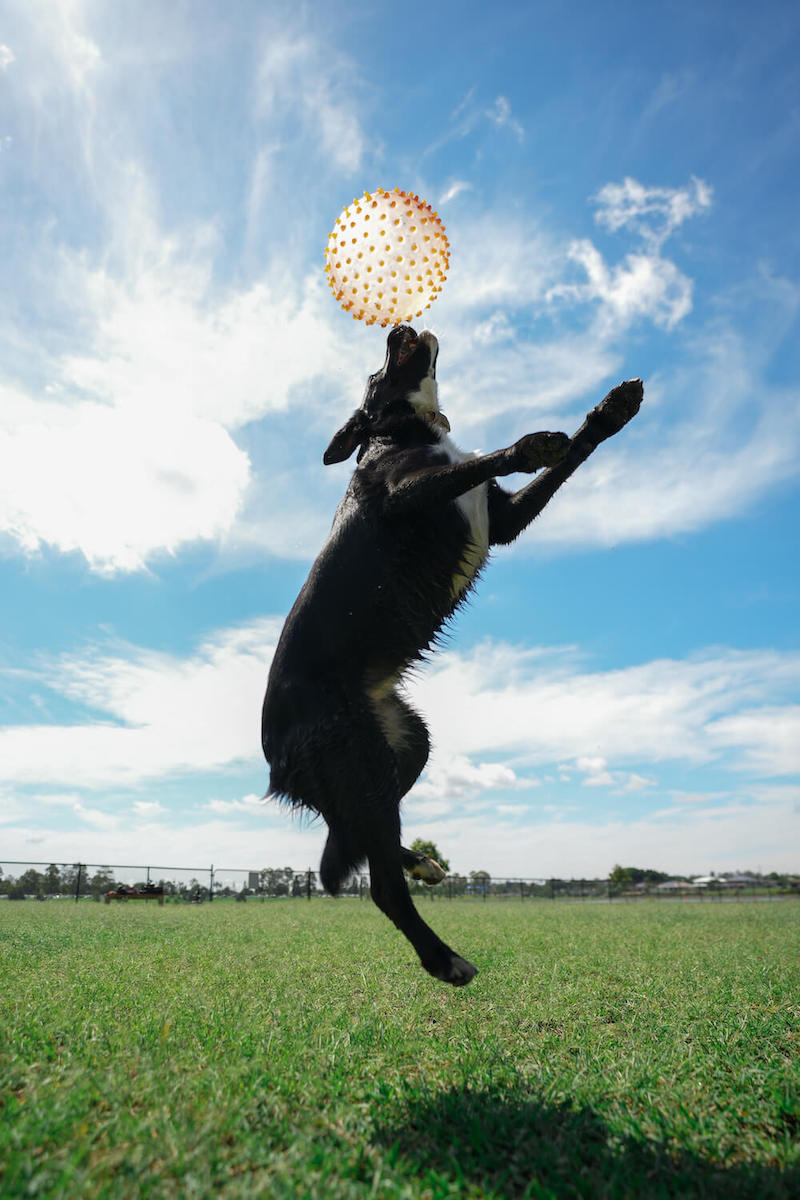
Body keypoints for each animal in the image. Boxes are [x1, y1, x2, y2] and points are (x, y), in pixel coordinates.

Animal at [263, 328, 642, 984]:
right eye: (376, 370)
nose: (396, 329)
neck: (403, 434)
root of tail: (273, 762)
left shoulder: (503, 518)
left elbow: (573, 454)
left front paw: (610, 412)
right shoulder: (404, 495)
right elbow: (487, 459)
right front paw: (530, 443)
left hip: (404, 745)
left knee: (352, 836)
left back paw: (421, 864)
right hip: (358, 759)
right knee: (377, 881)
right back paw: (444, 959)